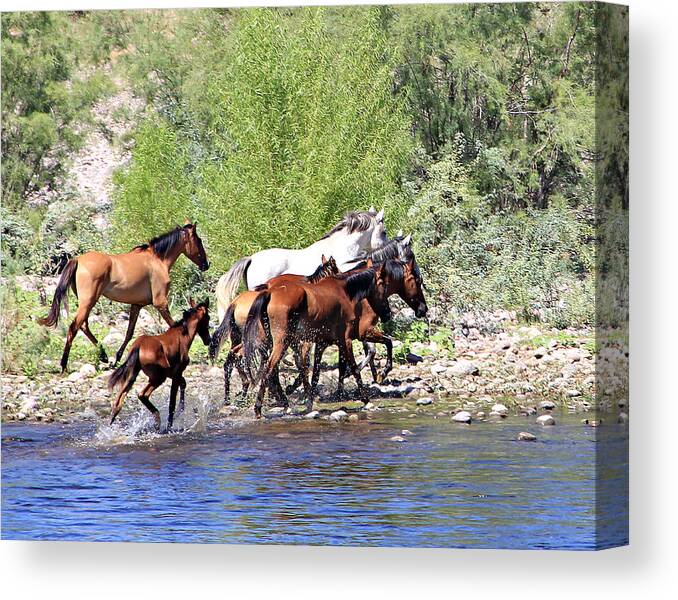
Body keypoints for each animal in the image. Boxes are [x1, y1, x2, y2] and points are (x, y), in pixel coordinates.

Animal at [38, 220, 209, 370]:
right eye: (199, 240)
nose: (207, 265)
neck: (157, 260)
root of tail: (78, 259)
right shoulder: (160, 302)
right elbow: (174, 326)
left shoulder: (137, 305)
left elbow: (129, 333)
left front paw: (118, 358)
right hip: (88, 301)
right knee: (74, 327)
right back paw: (64, 365)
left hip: (86, 302)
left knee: (84, 326)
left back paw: (103, 355)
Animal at [244, 268, 394, 418]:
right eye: (383, 286)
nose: (387, 314)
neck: (345, 291)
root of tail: (270, 292)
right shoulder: (345, 340)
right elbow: (354, 369)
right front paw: (367, 399)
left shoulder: (322, 343)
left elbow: (315, 373)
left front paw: (309, 403)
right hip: (282, 342)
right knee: (269, 369)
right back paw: (259, 409)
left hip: (273, 342)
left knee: (272, 370)